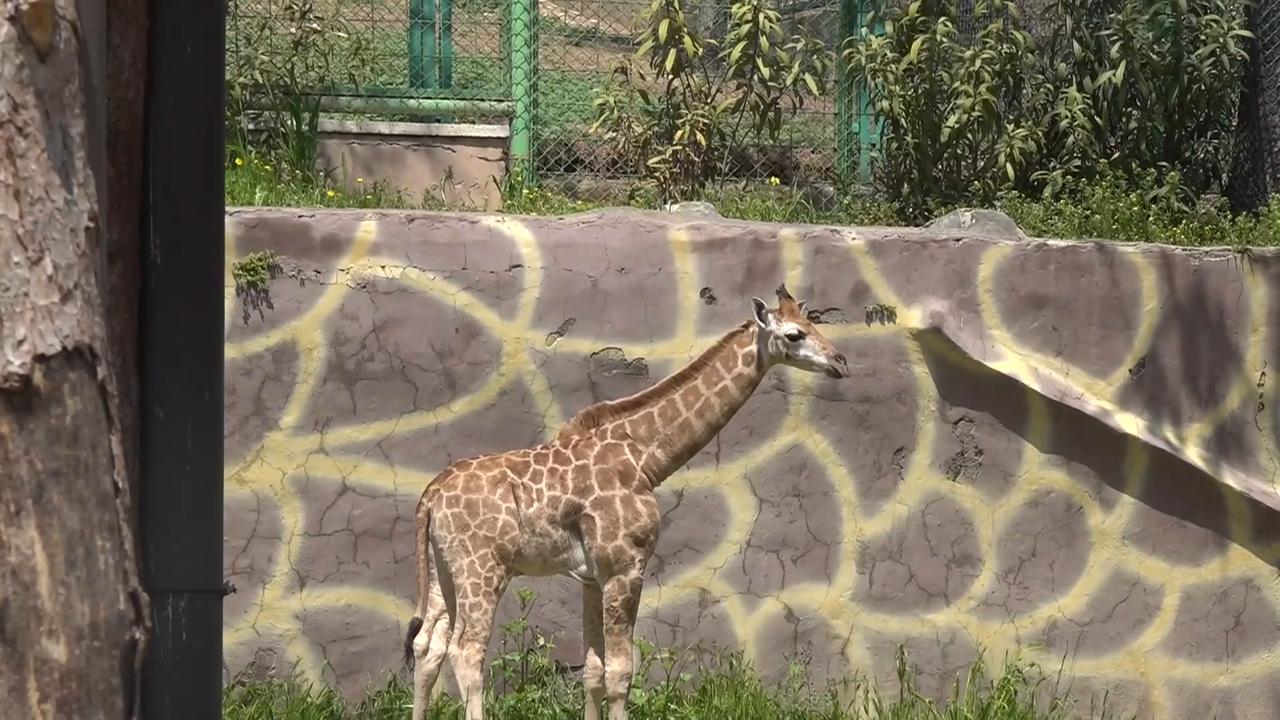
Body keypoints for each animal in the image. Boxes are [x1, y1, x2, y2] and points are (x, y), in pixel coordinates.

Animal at [402, 284, 850, 720]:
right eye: (795, 334)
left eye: (813, 321)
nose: (840, 361)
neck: (645, 458)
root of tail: (431, 494)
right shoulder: (625, 566)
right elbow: (620, 672)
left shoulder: (590, 577)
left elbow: (592, 671)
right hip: (482, 569)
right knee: (466, 652)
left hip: (444, 570)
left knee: (428, 645)